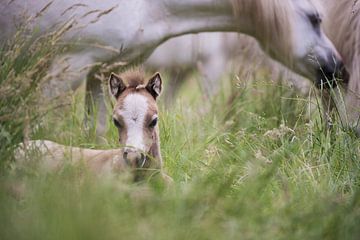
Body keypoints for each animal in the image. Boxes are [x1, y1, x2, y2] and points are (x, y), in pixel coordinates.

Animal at [0, 0, 348, 135]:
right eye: (315, 18)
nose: (339, 70)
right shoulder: (68, 66)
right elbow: (37, 125)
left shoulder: (99, 71)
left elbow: (96, 130)